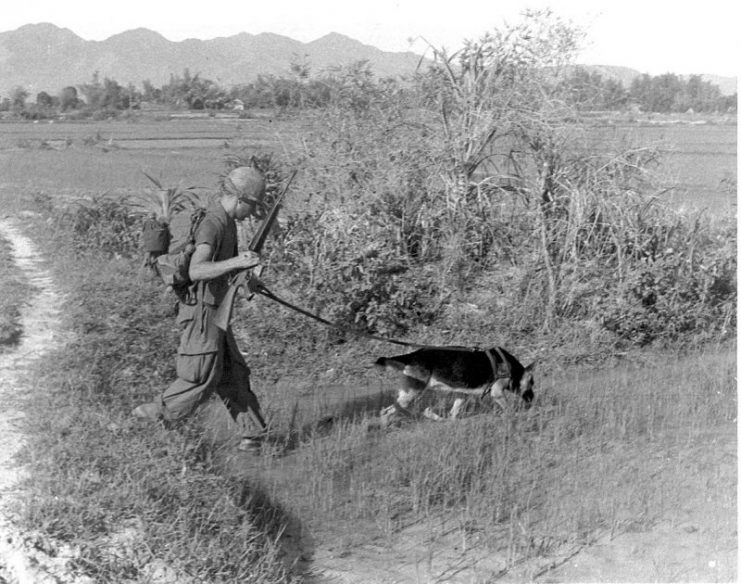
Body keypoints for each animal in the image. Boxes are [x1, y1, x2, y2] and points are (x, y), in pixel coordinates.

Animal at [376, 344, 532, 422]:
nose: (532, 402)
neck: (513, 369)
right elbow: (510, 409)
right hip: (412, 394)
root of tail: (413, 355)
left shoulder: (462, 394)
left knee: (389, 410)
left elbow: (453, 413)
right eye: (532, 384)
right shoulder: (497, 393)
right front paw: (516, 417)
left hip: (410, 394)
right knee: (386, 411)